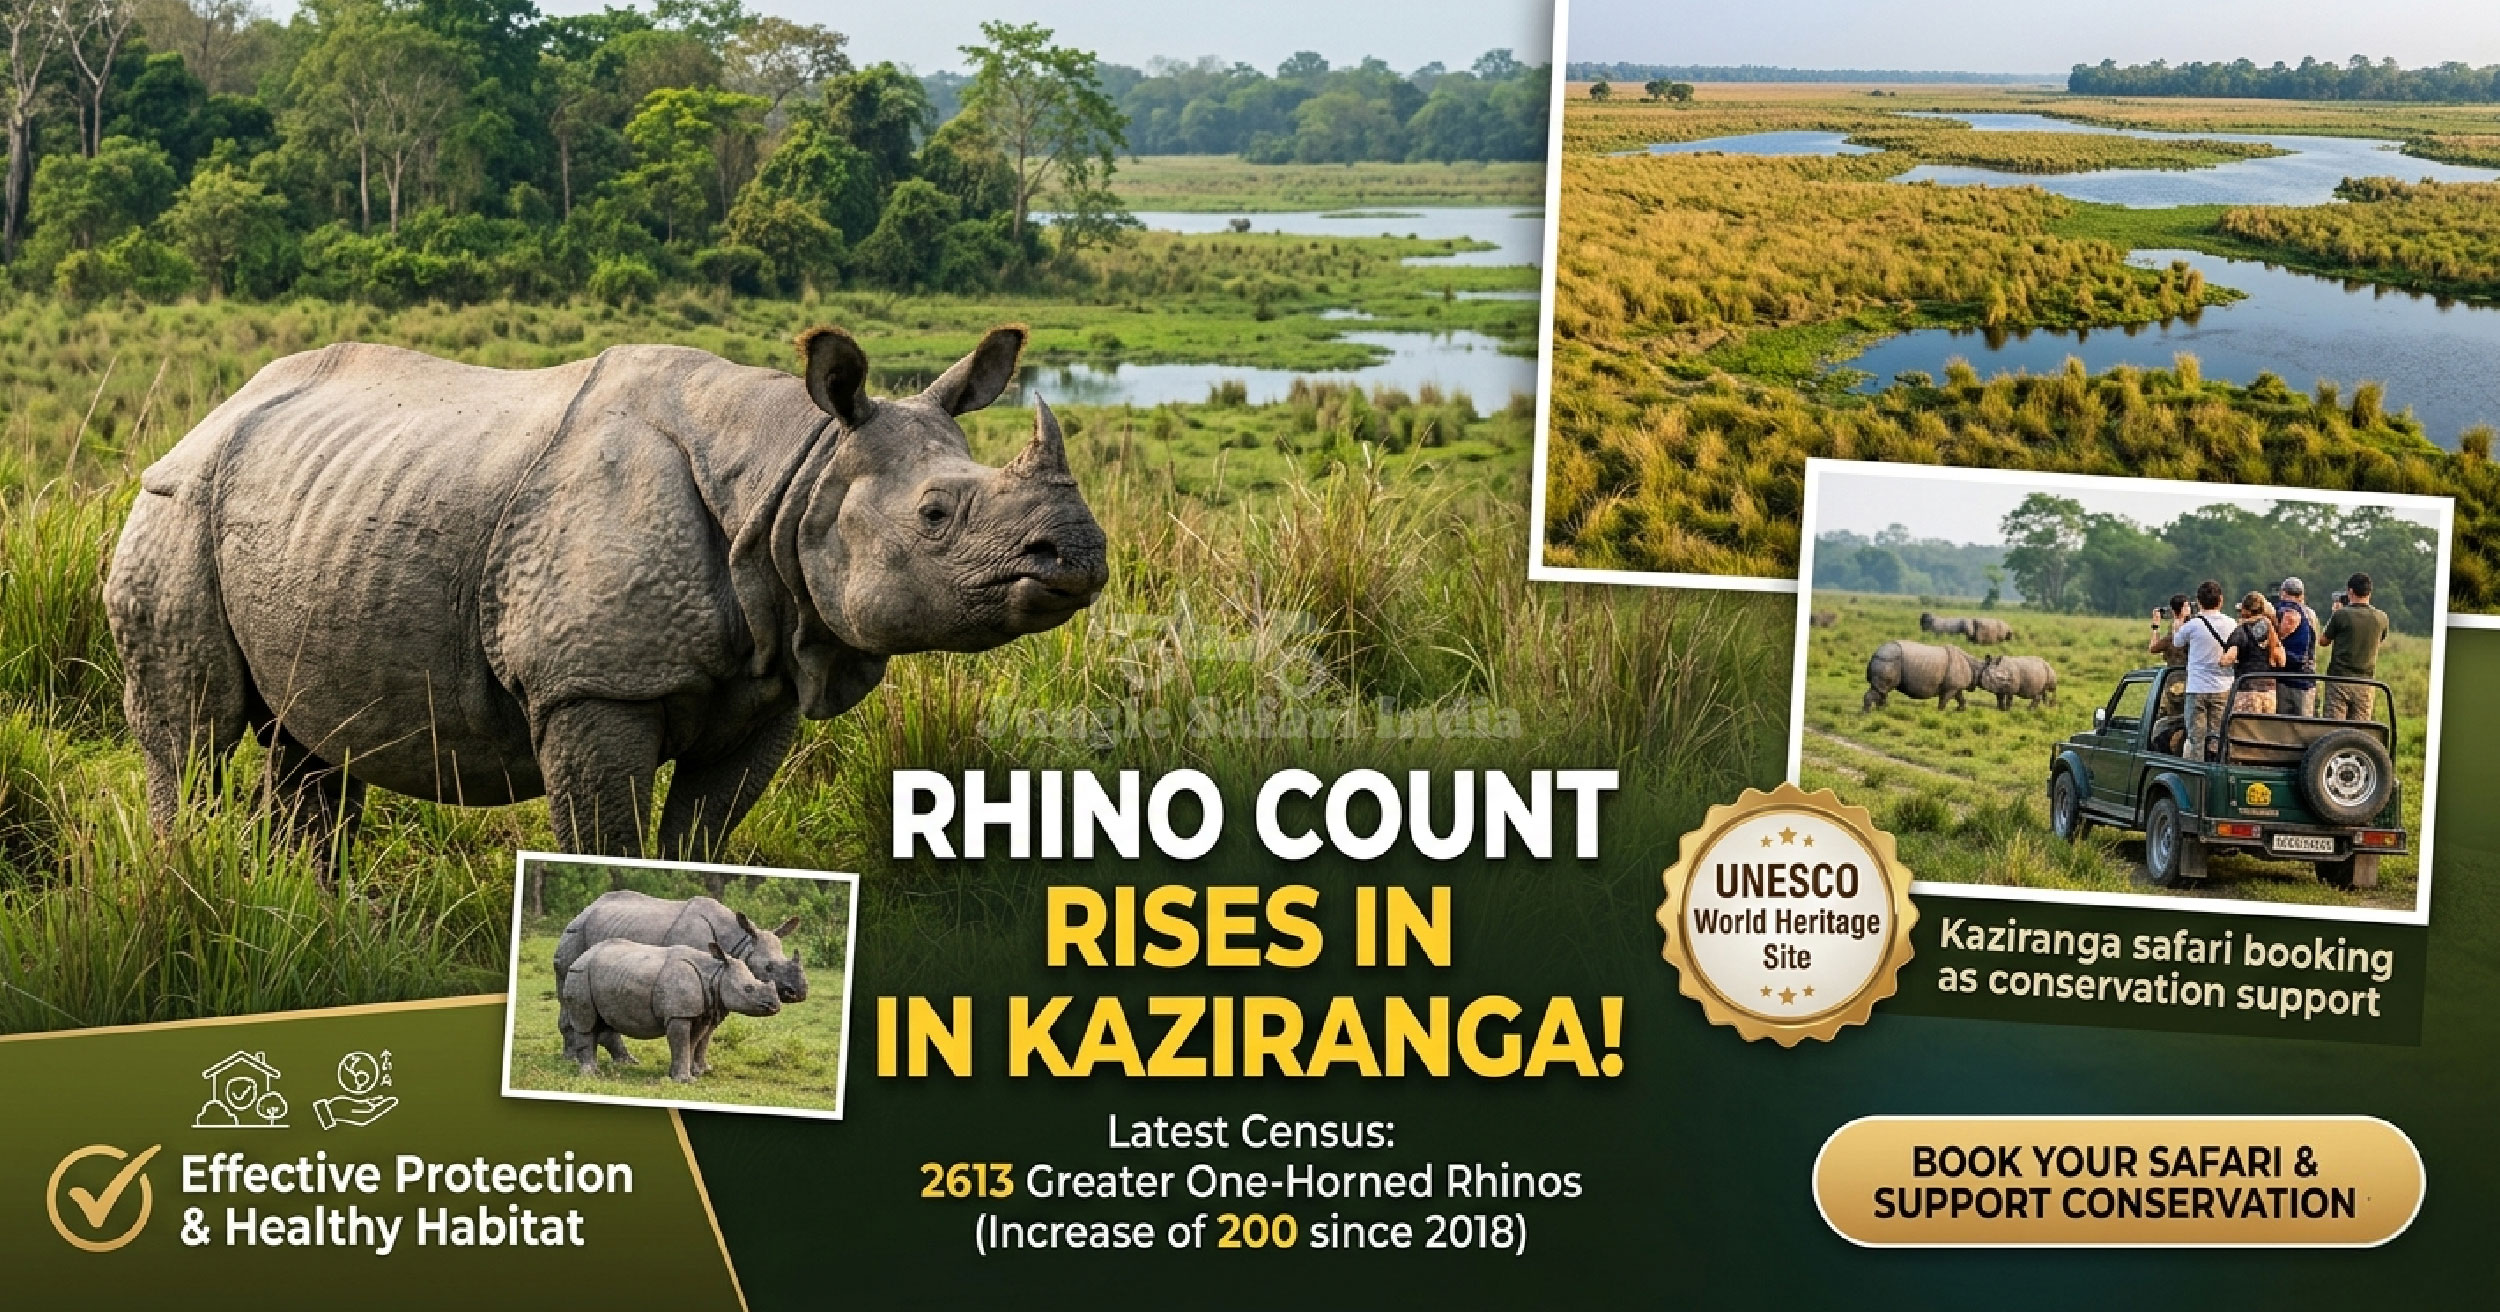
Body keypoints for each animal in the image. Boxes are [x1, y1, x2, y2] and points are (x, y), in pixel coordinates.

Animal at [106, 326, 1106, 867]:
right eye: (936, 514)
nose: (1083, 554)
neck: (795, 474)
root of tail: (213, 414)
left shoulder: (772, 680)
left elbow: (703, 838)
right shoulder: (591, 685)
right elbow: (604, 841)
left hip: (318, 511)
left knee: (313, 747)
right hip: (175, 505)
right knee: (190, 738)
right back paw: (187, 882)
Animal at [554, 890, 805, 1066]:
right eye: (768, 968)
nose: (799, 993)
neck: (738, 942)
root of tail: (584, 910)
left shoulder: (716, 987)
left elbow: (707, 1033)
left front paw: (704, 1068)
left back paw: (624, 1061)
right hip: (575, 936)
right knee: (570, 994)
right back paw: (573, 1059)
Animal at [560, 940, 782, 1081]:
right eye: (748, 988)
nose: (775, 1006)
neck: (715, 974)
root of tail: (582, 955)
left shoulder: (699, 1012)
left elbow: (691, 1043)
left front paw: (683, 1075)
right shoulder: (678, 1014)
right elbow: (681, 1042)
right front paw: (685, 1080)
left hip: (605, 975)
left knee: (605, 1021)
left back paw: (628, 1064)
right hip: (580, 973)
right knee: (587, 1023)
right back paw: (591, 1074)